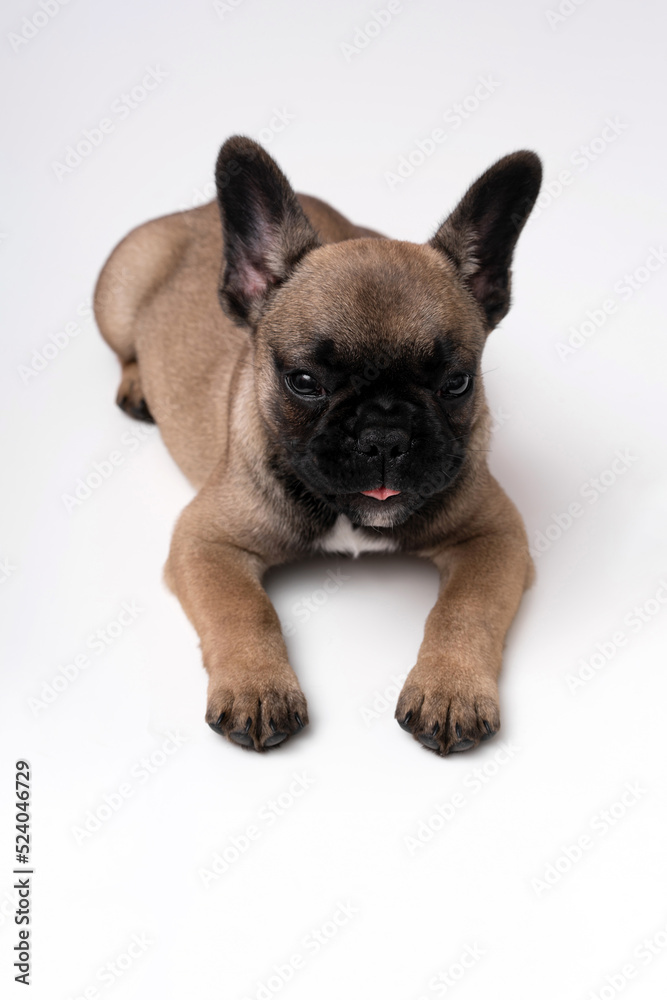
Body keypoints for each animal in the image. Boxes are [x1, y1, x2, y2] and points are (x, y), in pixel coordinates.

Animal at [94, 137, 544, 752]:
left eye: (457, 384)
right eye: (304, 383)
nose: (385, 435)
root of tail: (194, 211)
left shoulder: (495, 535)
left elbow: (463, 609)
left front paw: (449, 689)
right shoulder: (204, 541)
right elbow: (245, 610)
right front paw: (257, 686)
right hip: (116, 298)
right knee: (124, 348)